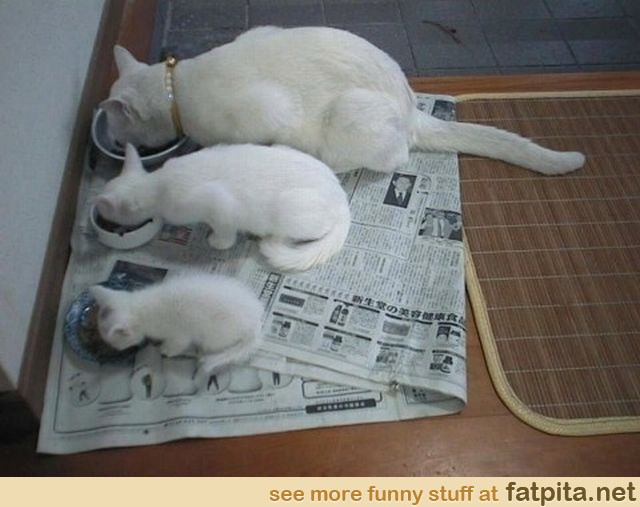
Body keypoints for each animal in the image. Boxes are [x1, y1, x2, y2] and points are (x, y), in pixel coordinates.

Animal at [90, 273, 264, 372]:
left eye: (115, 344)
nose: (117, 350)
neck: (140, 307)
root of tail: (255, 324)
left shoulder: (180, 334)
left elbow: (176, 345)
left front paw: (165, 350)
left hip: (214, 337)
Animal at [94, 143, 351, 271]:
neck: (158, 184)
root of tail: (341, 198)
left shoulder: (219, 205)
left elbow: (225, 231)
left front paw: (217, 242)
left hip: (290, 210)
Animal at [101, 26, 585, 176]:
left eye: (121, 130)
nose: (120, 144)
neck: (177, 88)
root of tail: (412, 106)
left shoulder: (267, 110)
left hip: (347, 117)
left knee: (393, 156)